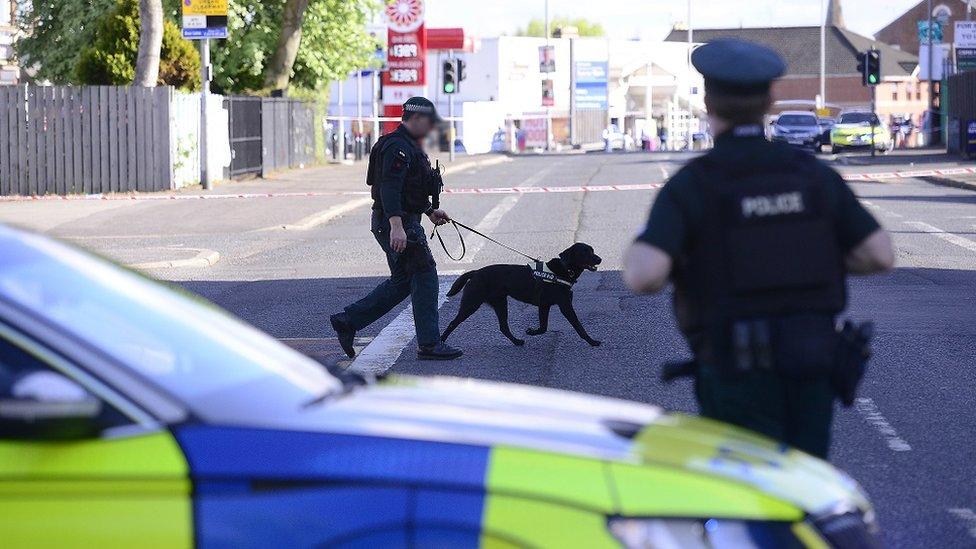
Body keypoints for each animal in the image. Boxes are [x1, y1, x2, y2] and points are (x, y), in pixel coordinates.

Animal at [440, 244, 604, 346]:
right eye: (584, 252)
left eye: (592, 250)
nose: (600, 259)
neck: (564, 270)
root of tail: (475, 272)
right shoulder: (565, 306)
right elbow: (578, 326)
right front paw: (592, 341)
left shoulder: (544, 306)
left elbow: (543, 327)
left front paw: (532, 332)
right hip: (471, 304)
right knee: (453, 322)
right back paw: (441, 340)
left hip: (500, 304)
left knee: (503, 327)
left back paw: (517, 341)